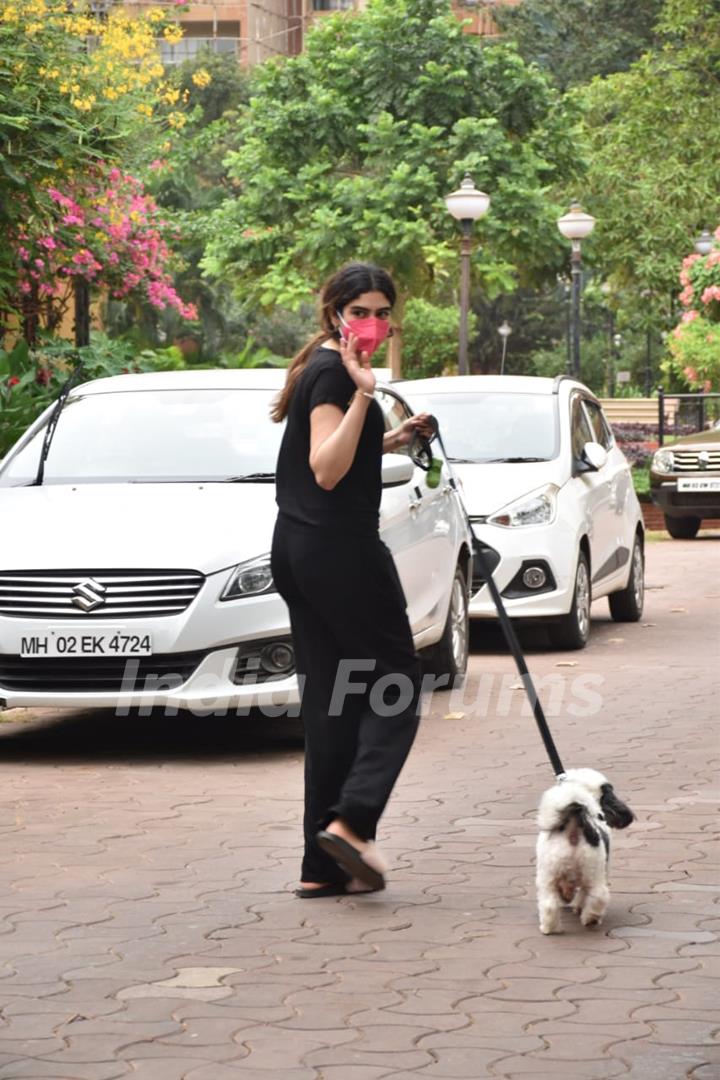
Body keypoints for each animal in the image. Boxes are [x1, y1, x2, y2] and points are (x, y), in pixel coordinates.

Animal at [535, 768, 634, 937]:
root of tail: (574, 824)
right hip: (591, 870)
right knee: (598, 894)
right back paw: (590, 919)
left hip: (549, 875)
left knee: (549, 904)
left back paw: (550, 928)